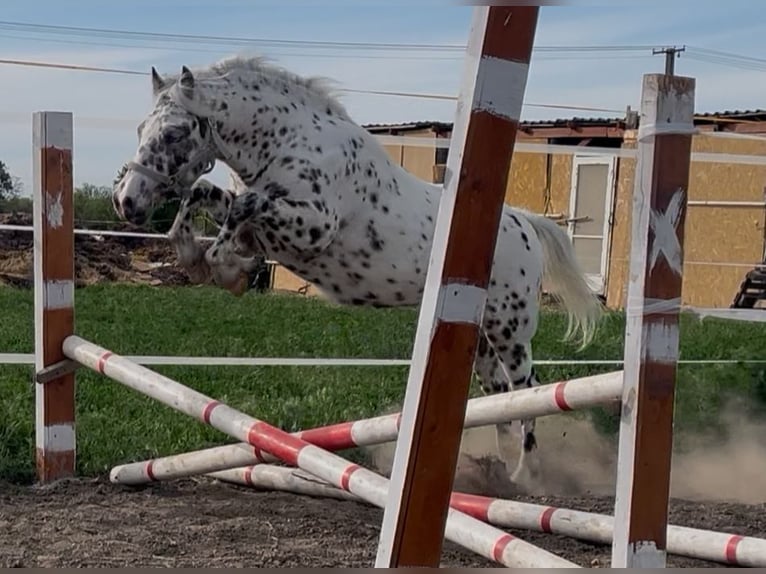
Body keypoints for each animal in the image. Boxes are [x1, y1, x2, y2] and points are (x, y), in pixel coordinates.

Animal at [111, 55, 605, 486]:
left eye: (175, 134)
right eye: (139, 129)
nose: (126, 201)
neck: (287, 145)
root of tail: (525, 222)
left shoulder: (312, 227)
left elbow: (240, 207)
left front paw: (228, 271)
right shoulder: (268, 226)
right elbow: (208, 197)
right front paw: (195, 257)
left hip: (510, 331)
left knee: (529, 393)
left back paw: (528, 475)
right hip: (480, 336)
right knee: (500, 396)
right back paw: (499, 474)